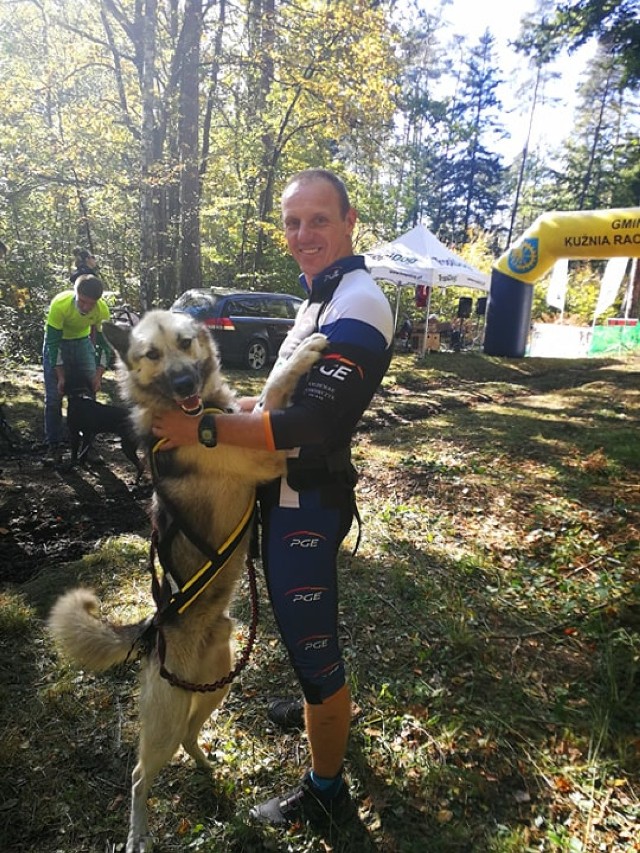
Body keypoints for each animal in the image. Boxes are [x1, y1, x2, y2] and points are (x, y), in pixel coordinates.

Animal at [46, 312, 324, 852]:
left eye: (185, 342)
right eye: (151, 354)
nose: (183, 384)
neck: (197, 417)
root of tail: (155, 628)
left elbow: (258, 397)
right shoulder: (266, 456)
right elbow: (271, 391)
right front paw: (300, 354)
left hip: (216, 689)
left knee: (191, 739)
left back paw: (209, 770)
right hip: (165, 722)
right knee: (139, 776)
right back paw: (138, 834)